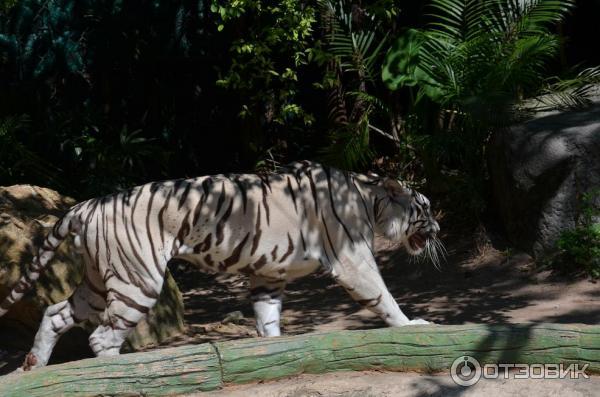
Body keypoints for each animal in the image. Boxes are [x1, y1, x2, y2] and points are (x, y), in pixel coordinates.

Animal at [0, 159, 440, 370]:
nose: (438, 229)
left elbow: (268, 321)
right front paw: (412, 325)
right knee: (101, 338)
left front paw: (274, 353)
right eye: (425, 208)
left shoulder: (268, 275)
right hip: (136, 281)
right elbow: (383, 296)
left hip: (98, 280)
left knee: (55, 312)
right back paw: (124, 371)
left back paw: (34, 364)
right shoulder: (353, 260)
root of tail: (87, 204)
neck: (370, 200)